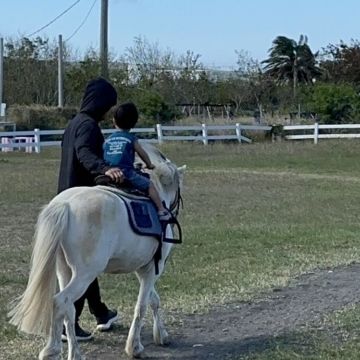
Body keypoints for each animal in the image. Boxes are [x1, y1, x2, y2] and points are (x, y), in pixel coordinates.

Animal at [8, 144, 186, 360]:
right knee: (60, 302)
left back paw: (75, 353)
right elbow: (142, 305)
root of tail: (65, 204)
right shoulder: (153, 268)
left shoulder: (143, 268)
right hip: (85, 274)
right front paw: (135, 346)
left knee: (69, 310)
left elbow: (153, 299)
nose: (173, 211)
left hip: (64, 270)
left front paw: (161, 335)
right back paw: (52, 349)